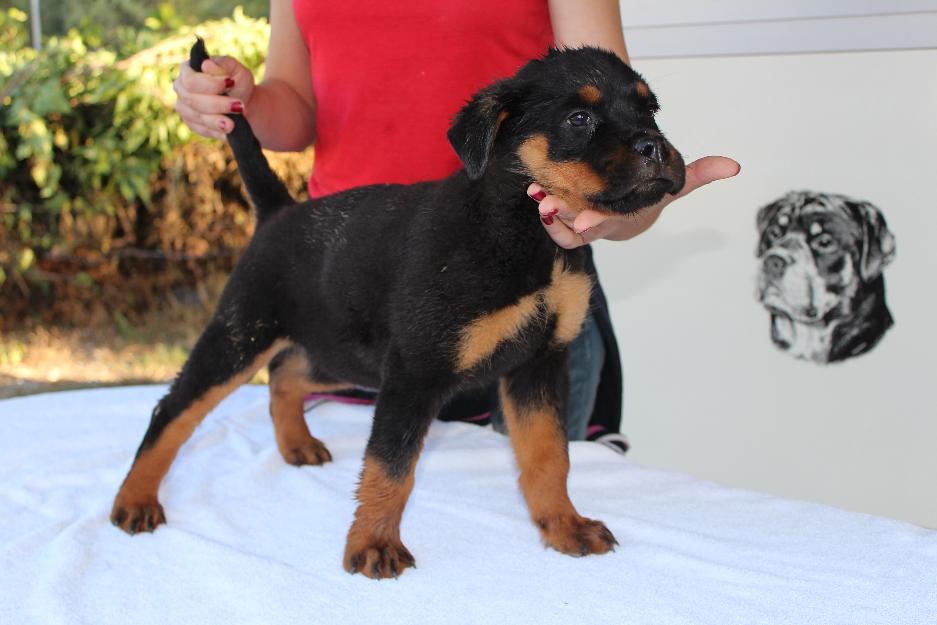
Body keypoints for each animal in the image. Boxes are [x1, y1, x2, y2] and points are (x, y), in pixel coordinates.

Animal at [109, 37, 684, 576]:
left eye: (650, 111)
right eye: (579, 118)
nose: (657, 148)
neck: (522, 231)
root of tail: (278, 212)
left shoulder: (538, 366)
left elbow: (548, 455)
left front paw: (563, 526)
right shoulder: (414, 373)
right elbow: (391, 467)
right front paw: (373, 544)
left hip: (339, 354)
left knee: (285, 375)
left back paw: (296, 443)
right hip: (242, 335)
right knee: (173, 410)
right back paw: (135, 499)